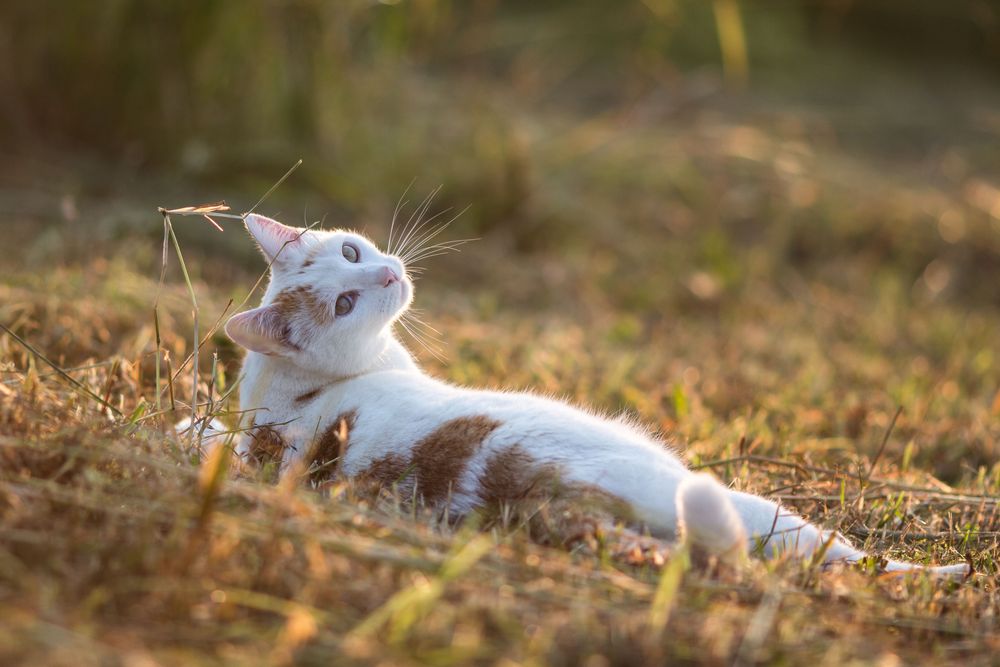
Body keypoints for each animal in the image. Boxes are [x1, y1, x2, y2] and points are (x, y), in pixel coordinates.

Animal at [213, 215, 968, 580]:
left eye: (349, 251)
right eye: (344, 303)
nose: (387, 273)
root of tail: (547, 505)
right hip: (711, 493)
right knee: (835, 554)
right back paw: (946, 572)